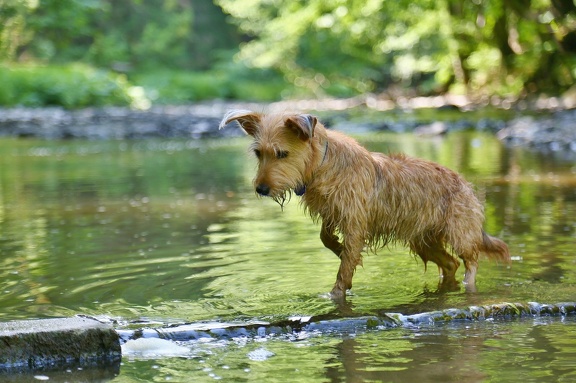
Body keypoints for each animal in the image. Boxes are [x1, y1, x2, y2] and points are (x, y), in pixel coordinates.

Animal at [217, 111, 508, 300]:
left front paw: (337, 290)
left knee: (470, 260)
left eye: (281, 154)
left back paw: (469, 283)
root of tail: (466, 185)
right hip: (423, 240)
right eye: (259, 153)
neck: (322, 164)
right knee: (450, 263)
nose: (261, 189)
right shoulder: (334, 213)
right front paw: (338, 249)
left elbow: (346, 265)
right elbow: (326, 238)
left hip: (459, 232)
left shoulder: (355, 221)